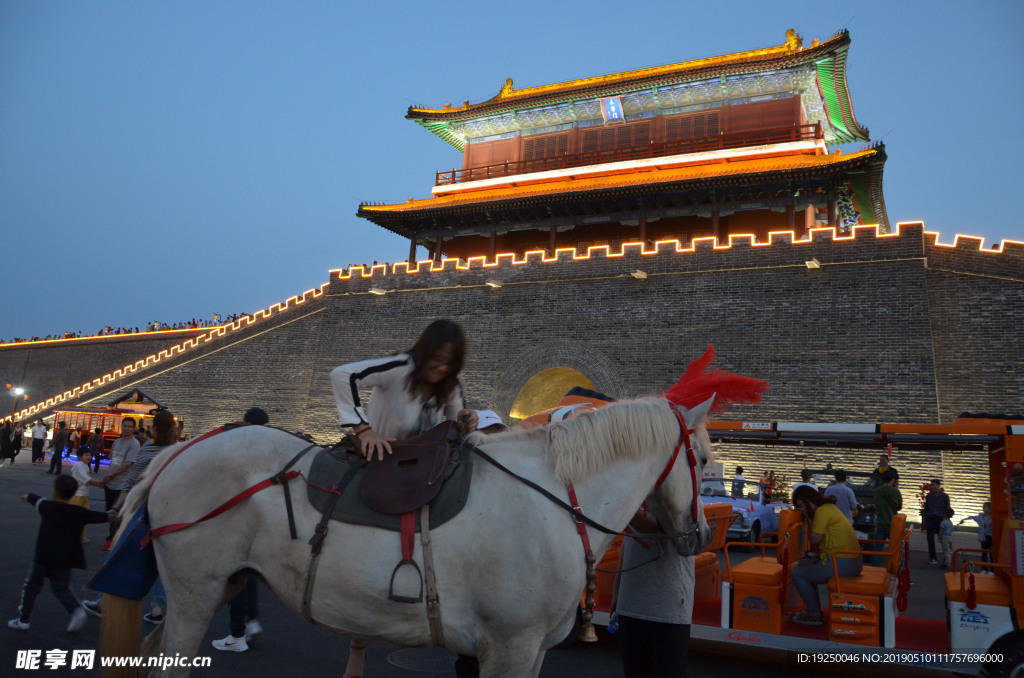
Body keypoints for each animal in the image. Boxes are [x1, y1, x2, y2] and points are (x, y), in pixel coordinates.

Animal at [110, 395, 712, 675]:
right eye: (704, 461)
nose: (701, 535)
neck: (554, 500)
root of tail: (178, 451)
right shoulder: (511, 647)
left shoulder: (530, 651)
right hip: (196, 589)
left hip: (227, 581)